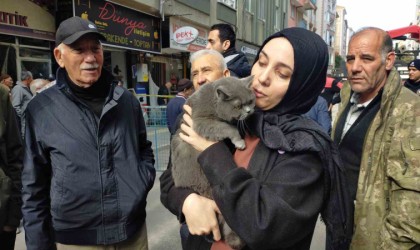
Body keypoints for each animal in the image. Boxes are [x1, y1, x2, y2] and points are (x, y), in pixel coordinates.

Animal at [171, 75, 256, 249]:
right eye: (238, 106)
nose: (249, 111)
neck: (212, 101)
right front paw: (240, 142)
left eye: (250, 101)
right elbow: (229, 128)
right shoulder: (201, 121)